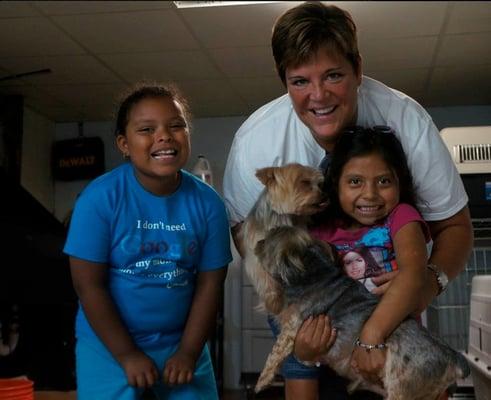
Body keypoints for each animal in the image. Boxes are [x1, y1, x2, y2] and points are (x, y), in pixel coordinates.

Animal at [241, 164, 328, 314]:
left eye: (319, 184)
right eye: (304, 182)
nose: (325, 196)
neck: (282, 218)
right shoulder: (255, 252)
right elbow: (263, 275)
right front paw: (274, 301)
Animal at [256, 227, 470, 398]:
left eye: (267, 241)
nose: (257, 242)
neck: (313, 271)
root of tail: (454, 358)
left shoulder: (291, 327)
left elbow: (274, 354)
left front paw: (261, 382)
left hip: (404, 387)